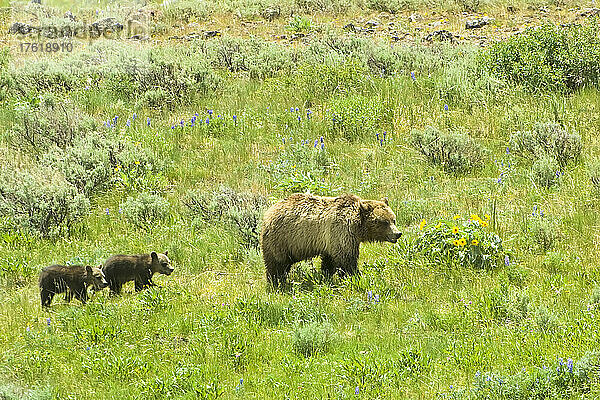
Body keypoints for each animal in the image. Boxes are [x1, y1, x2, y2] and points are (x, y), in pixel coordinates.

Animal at [260, 192, 400, 286]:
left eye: (393, 219)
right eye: (384, 222)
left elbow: (329, 261)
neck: (358, 226)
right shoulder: (342, 232)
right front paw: (355, 277)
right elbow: (347, 259)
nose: (398, 233)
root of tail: (269, 212)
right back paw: (276, 282)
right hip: (281, 239)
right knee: (277, 263)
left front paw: (326, 276)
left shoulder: (331, 242)